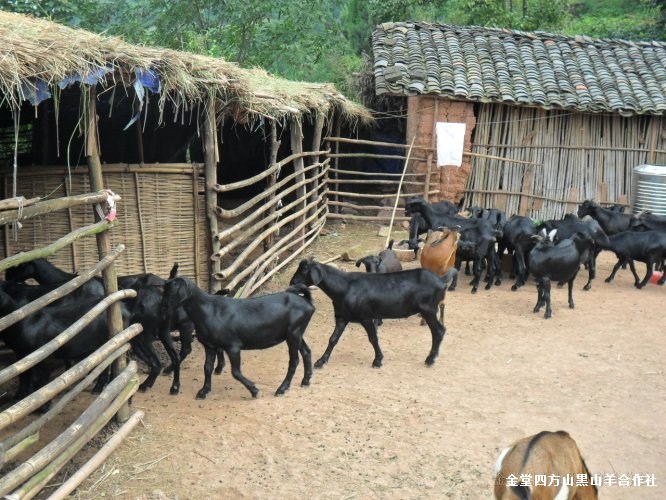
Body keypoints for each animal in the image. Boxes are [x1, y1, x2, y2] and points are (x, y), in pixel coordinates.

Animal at [162, 280, 316, 400]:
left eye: (171, 290)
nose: (162, 306)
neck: (208, 311)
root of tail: (307, 302)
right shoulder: (209, 345)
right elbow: (207, 368)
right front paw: (203, 391)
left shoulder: (233, 346)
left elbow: (235, 372)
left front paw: (254, 390)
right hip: (297, 333)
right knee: (306, 352)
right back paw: (306, 381)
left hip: (293, 333)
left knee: (294, 361)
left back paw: (282, 389)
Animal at [290, 260, 456, 370]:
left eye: (304, 270)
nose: (292, 283)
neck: (345, 287)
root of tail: (441, 279)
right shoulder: (342, 317)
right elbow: (333, 339)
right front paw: (321, 361)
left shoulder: (366, 317)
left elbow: (373, 338)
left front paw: (377, 360)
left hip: (428, 309)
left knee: (438, 331)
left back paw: (430, 359)